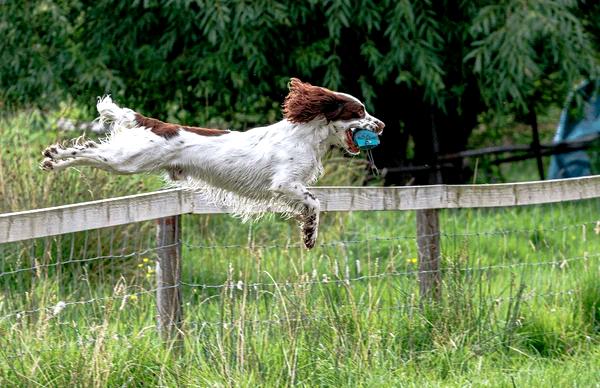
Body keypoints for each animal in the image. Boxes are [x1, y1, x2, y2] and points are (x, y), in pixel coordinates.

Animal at [44, 79, 386, 249]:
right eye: (359, 111)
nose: (381, 125)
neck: (306, 136)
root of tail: (157, 123)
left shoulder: (289, 188)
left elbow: (310, 204)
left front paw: (307, 231)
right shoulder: (285, 183)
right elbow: (315, 203)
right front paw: (309, 235)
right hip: (128, 160)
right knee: (88, 150)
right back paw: (54, 157)